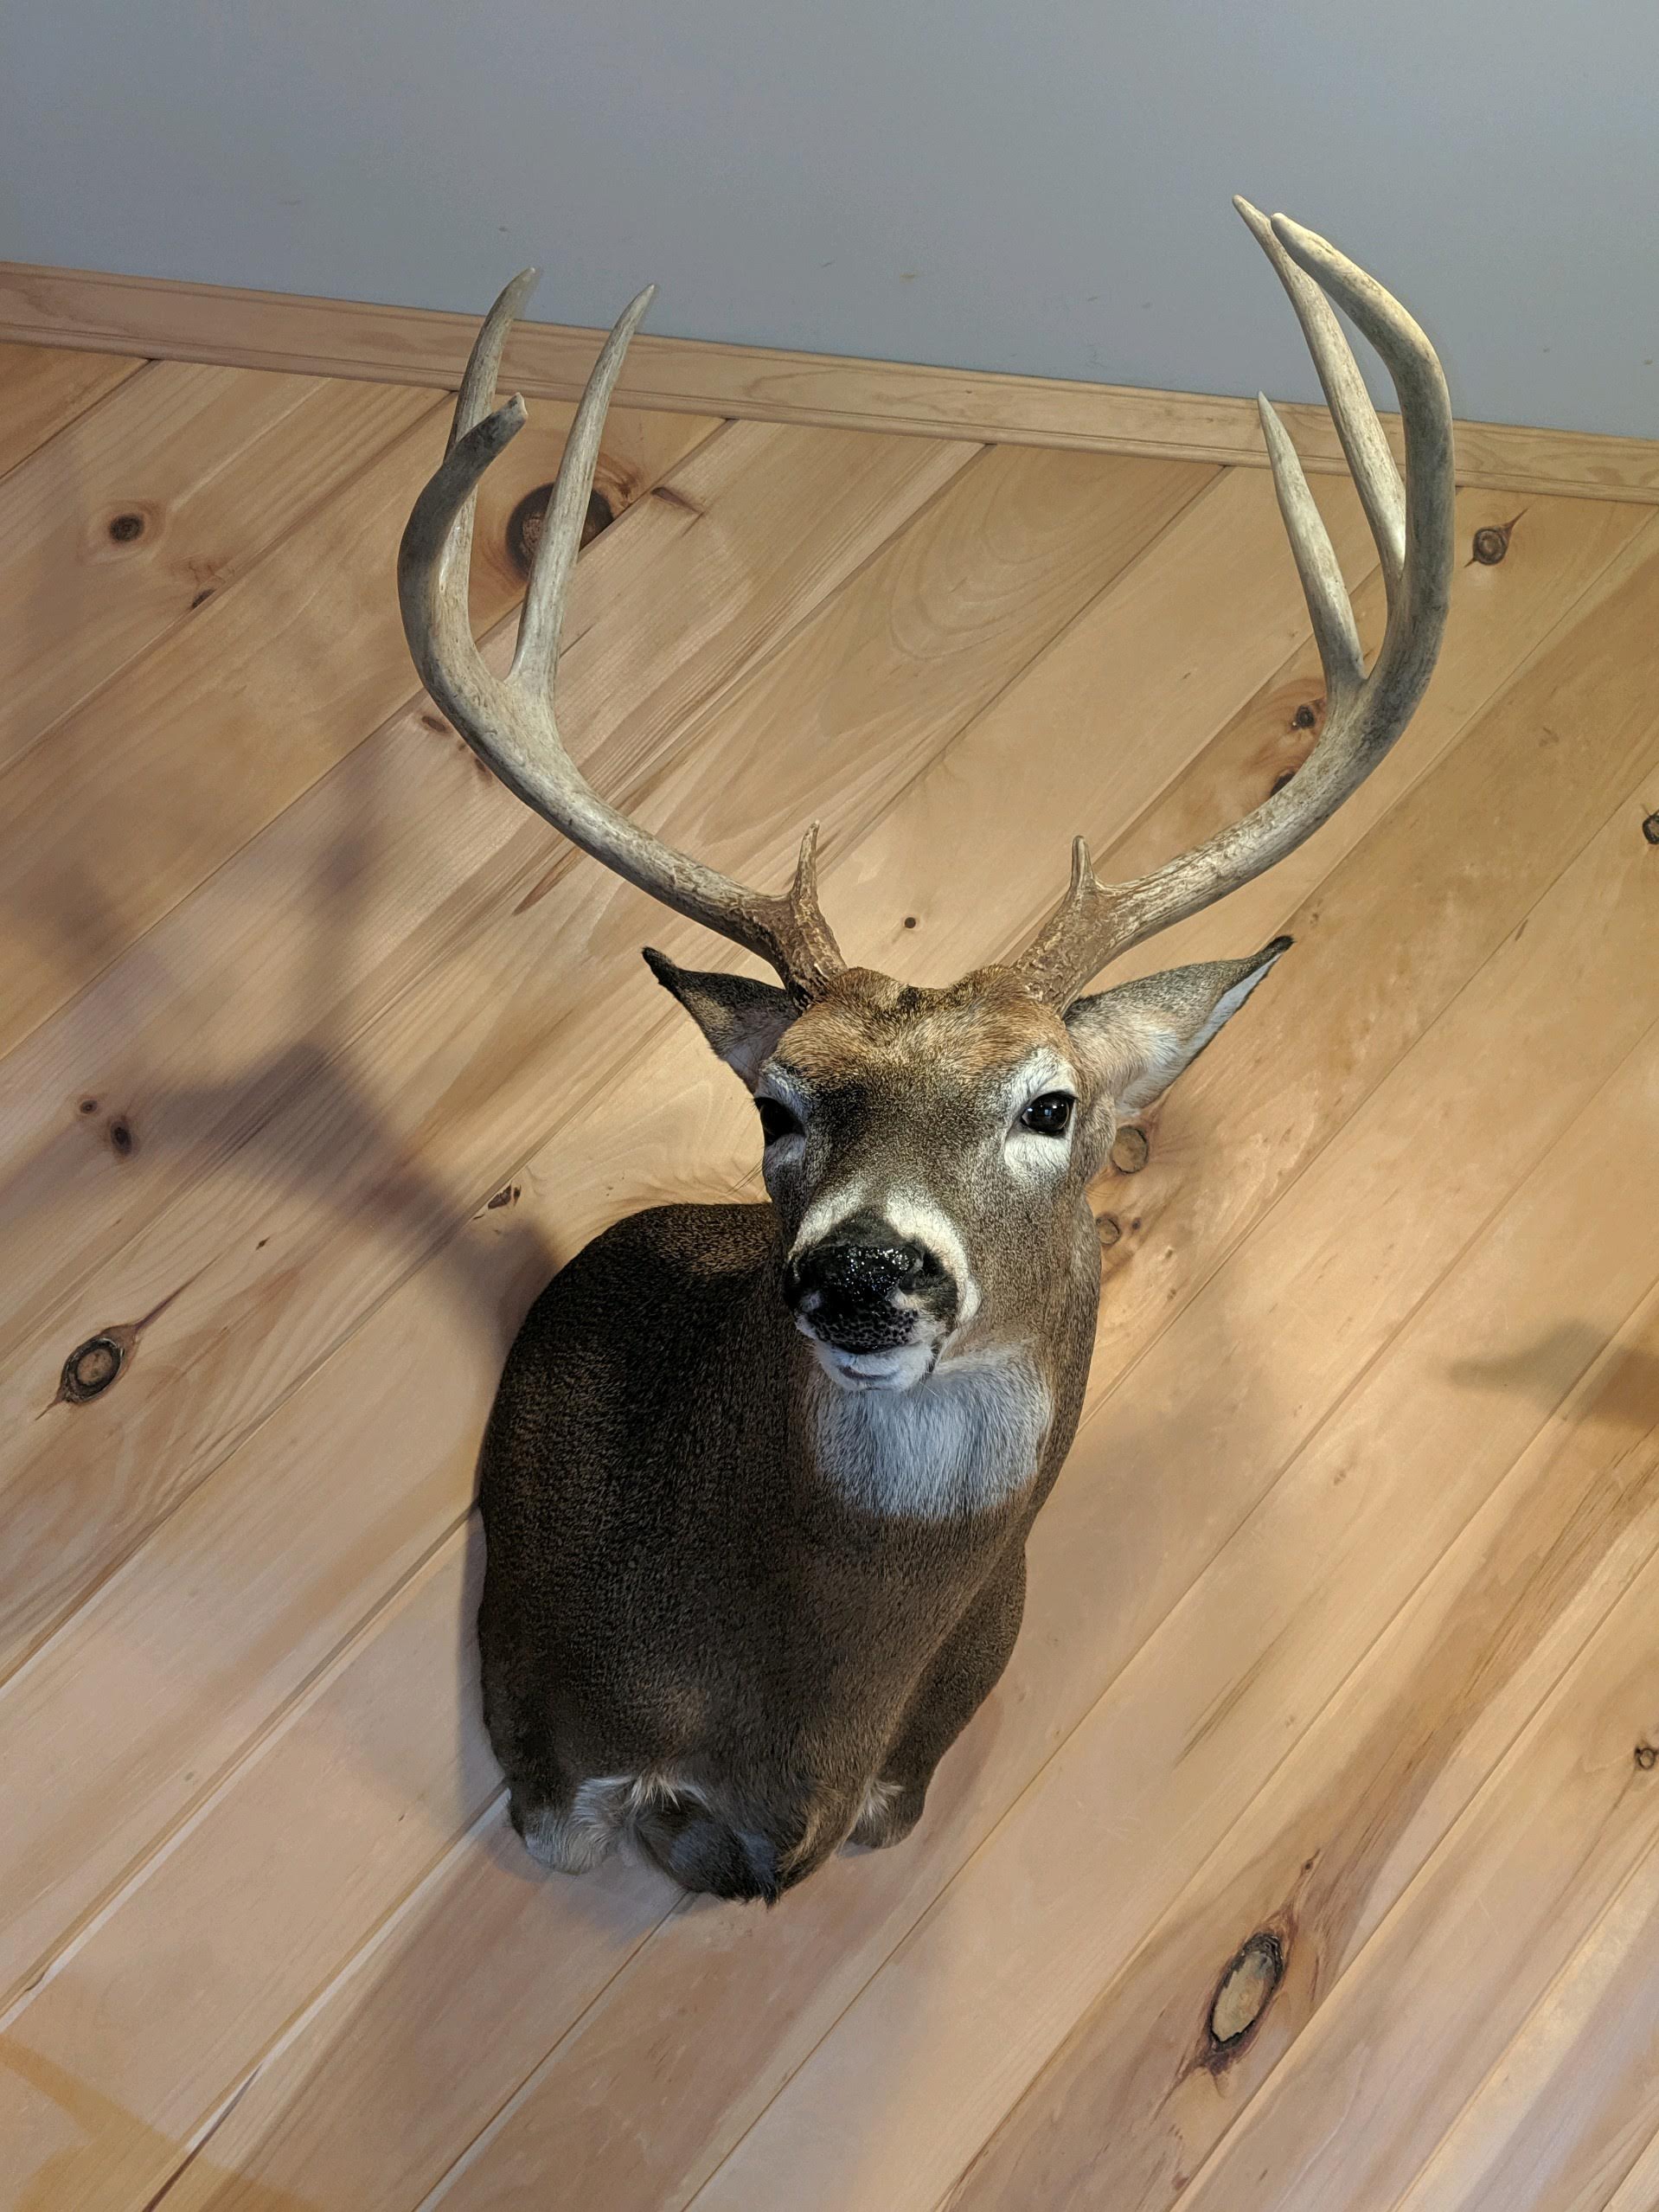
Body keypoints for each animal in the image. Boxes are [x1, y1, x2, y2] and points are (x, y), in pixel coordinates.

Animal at [398, 199, 1453, 1903]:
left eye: (1052, 1103)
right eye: (777, 1102)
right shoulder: (547, 1730)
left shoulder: (902, 1777)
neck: (805, 1722)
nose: (861, 1268)